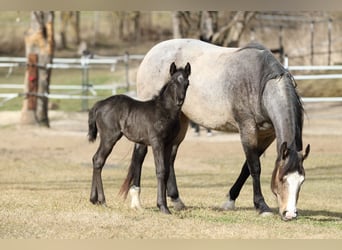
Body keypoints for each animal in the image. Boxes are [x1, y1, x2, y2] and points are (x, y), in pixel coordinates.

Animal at [87, 61, 190, 214]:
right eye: (172, 82)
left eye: (187, 83)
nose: (180, 100)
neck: (165, 111)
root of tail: (99, 104)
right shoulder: (156, 142)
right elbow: (160, 170)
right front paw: (163, 207)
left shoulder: (168, 144)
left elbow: (166, 171)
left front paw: (163, 205)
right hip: (109, 137)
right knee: (99, 160)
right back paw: (102, 200)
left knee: (96, 159)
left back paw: (94, 200)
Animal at [119, 38, 310, 220]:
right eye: (282, 179)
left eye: (302, 181)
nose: (290, 214)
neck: (260, 83)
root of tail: (151, 53)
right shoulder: (247, 129)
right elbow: (254, 167)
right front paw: (261, 206)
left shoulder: (267, 135)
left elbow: (246, 168)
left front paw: (230, 200)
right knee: (140, 153)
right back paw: (136, 200)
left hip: (180, 122)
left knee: (170, 157)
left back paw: (176, 200)